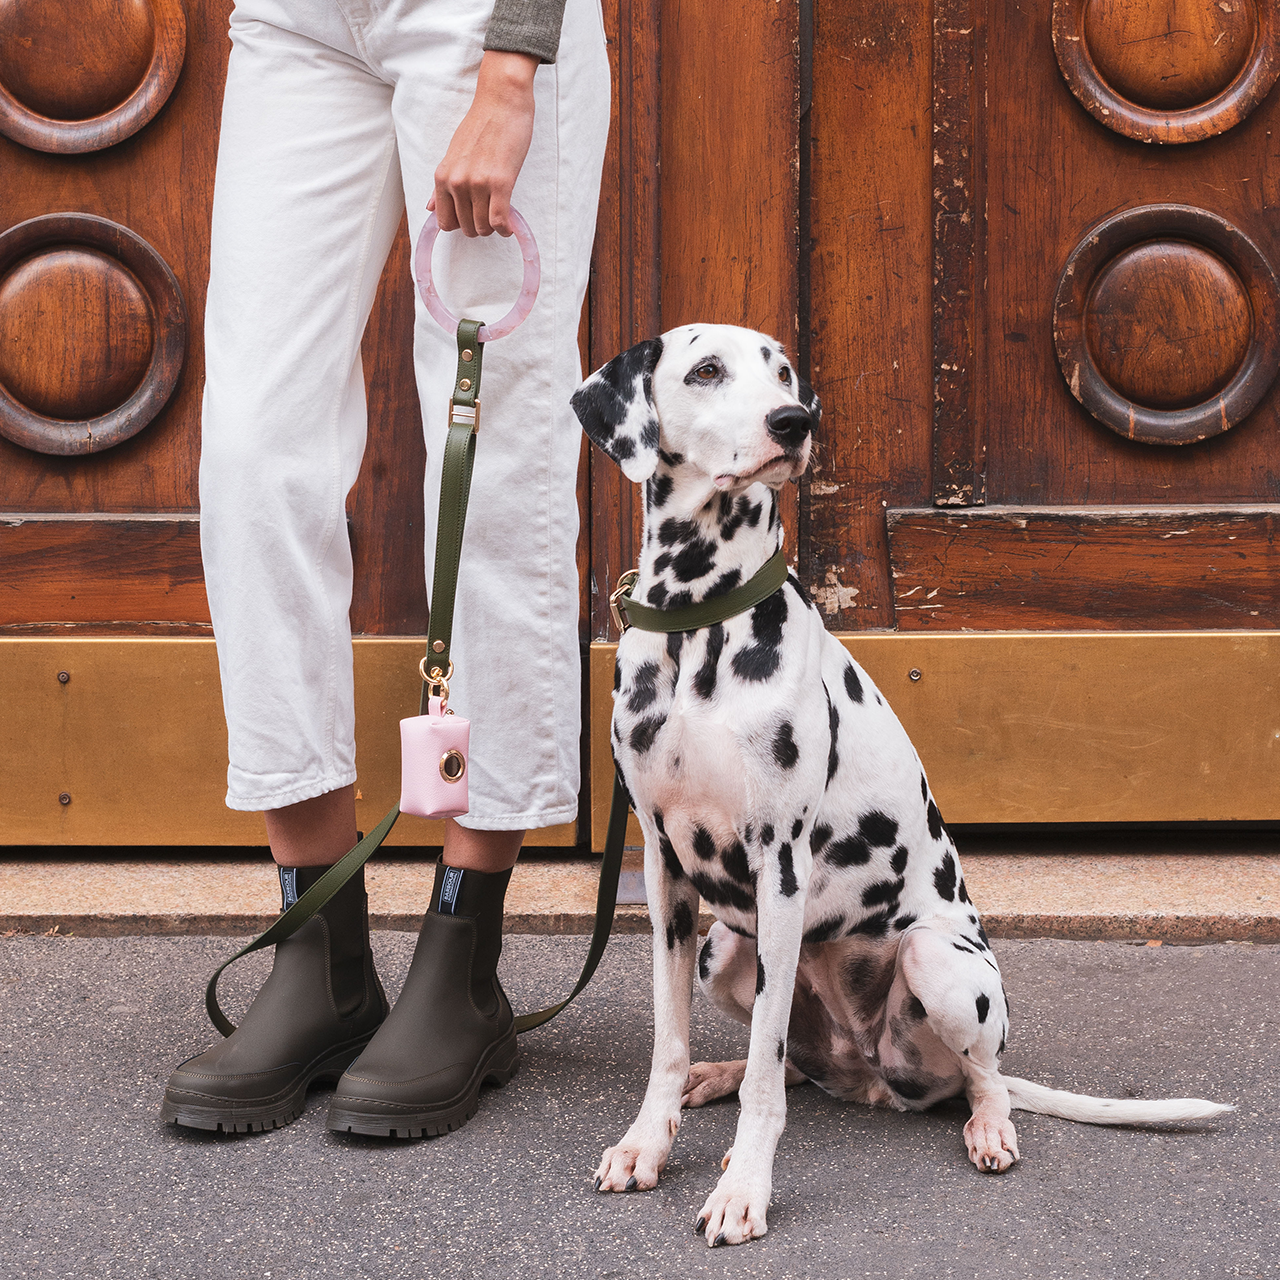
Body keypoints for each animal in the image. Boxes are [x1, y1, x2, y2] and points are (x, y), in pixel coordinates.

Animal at [570, 322, 1228, 1249]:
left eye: (784, 373)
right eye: (706, 370)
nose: (794, 421)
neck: (698, 620)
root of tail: (872, 1073)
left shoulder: (779, 866)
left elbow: (768, 1083)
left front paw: (745, 1188)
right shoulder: (667, 871)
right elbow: (670, 1044)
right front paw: (648, 1141)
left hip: (936, 964)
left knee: (974, 1077)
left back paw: (987, 1126)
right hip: (722, 948)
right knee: (792, 1062)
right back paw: (718, 1073)